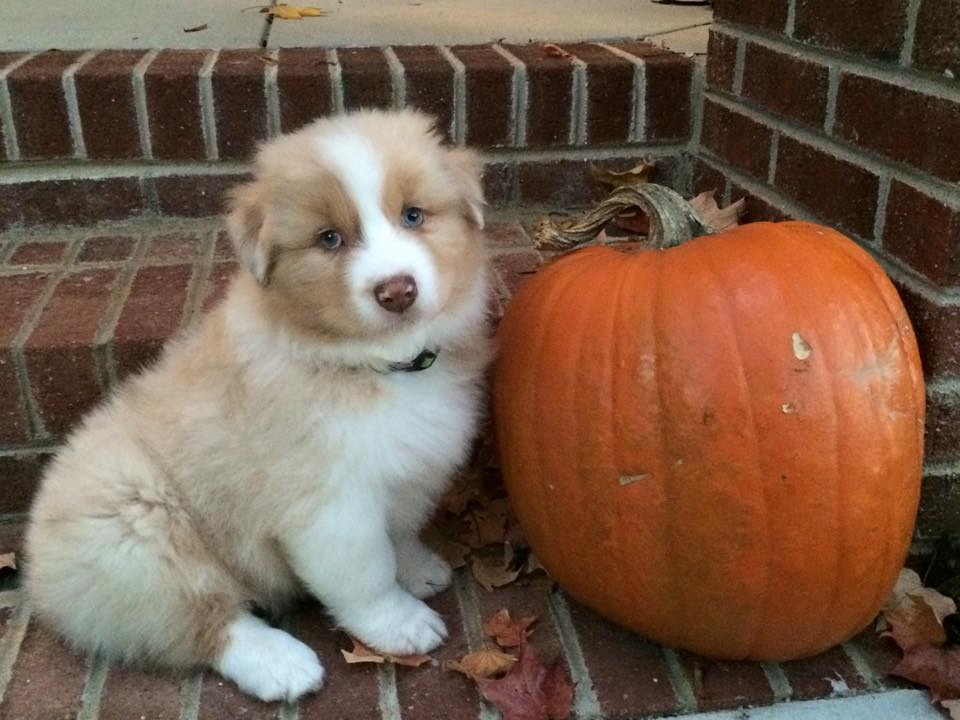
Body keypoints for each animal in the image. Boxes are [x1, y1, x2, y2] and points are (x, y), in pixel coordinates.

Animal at [26, 111, 492, 704]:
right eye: (330, 239)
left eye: (414, 215)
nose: (397, 291)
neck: (372, 364)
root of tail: (36, 569)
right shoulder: (328, 506)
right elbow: (366, 573)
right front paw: (400, 624)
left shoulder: (409, 472)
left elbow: (402, 532)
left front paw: (418, 568)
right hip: (136, 533)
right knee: (205, 622)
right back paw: (282, 663)